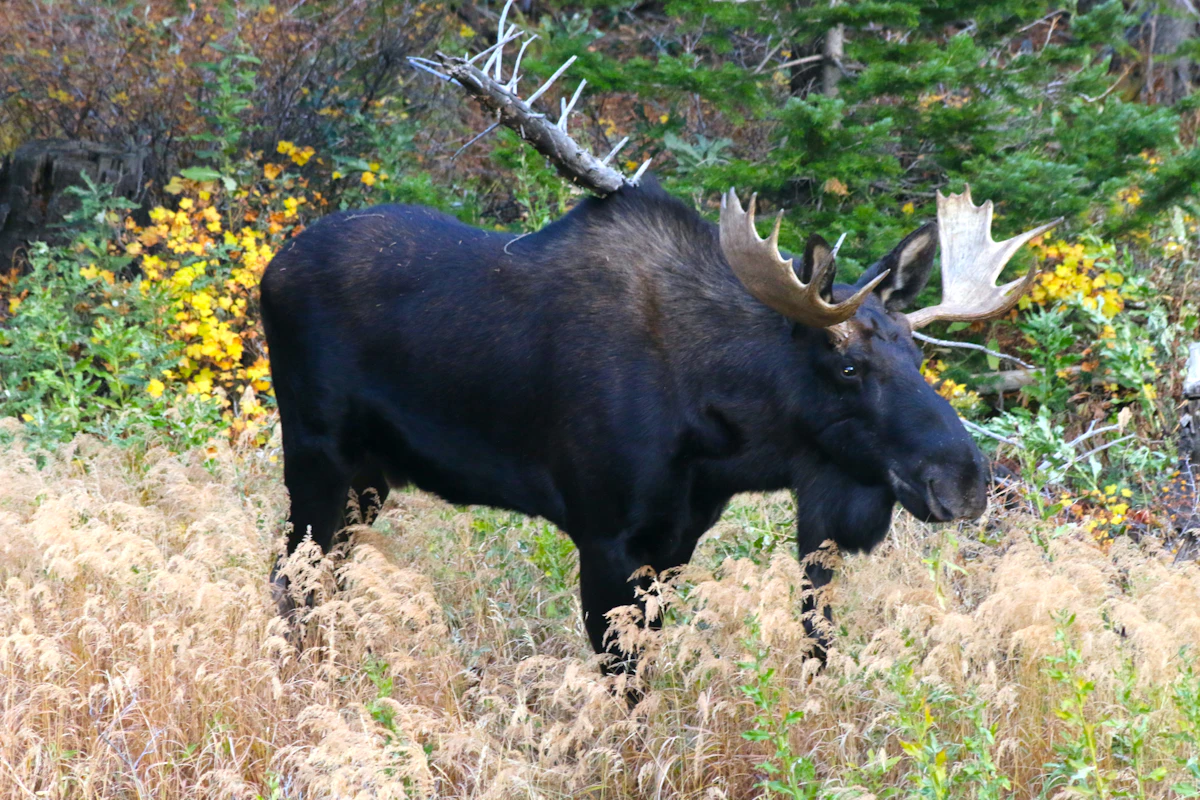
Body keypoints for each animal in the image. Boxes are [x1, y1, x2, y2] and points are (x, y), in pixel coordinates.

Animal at [260, 178, 1057, 666]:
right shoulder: (606, 537)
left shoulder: (675, 540)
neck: (723, 437)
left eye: (917, 354)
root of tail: (272, 268)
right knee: (290, 578)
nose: (965, 480)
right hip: (317, 455)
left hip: (369, 479)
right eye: (848, 367)